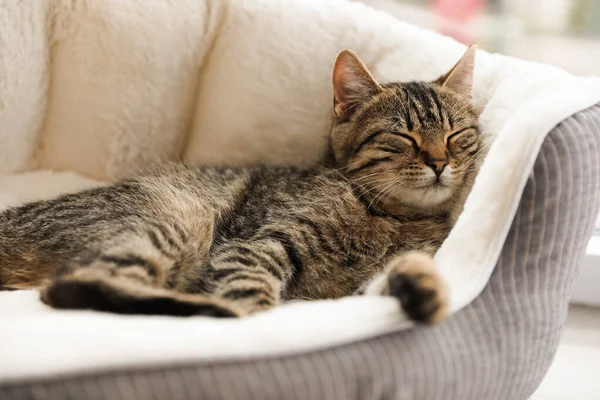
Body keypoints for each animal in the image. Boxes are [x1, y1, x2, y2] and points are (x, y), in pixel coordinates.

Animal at [0, 45, 480, 324]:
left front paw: (421, 286)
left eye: (456, 135)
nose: (439, 163)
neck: (396, 216)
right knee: (70, 285)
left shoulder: (356, 286)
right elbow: (252, 287)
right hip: (176, 220)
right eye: (403, 137)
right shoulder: (256, 241)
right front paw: (256, 318)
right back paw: (213, 311)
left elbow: (387, 281)